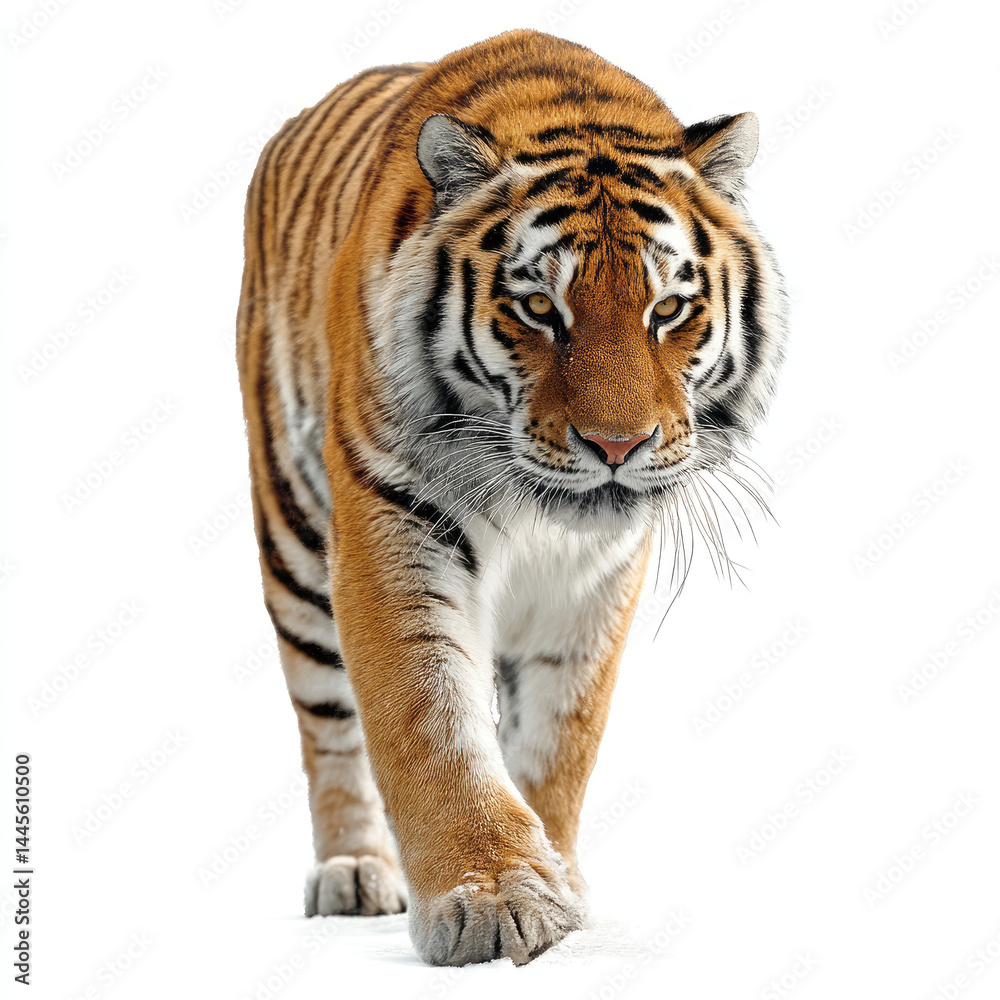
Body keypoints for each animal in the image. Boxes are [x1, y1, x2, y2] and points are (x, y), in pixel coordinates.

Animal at [235, 28, 787, 966]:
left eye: (669, 310)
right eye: (538, 307)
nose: (617, 446)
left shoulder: (595, 579)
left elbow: (562, 737)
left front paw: (554, 880)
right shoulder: (393, 519)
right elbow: (430, 721)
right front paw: (490, 898)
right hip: (295, 540)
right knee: (327, 721)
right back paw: (352, 870)